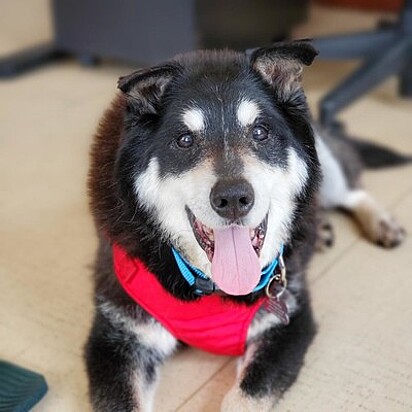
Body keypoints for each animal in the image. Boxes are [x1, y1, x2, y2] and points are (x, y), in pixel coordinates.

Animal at [86, 42, 406, 412]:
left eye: (260, 132)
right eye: (184, 140)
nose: (233, 198)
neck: (212, 286)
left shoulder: (288, 325)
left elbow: (245, 397)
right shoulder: (117, 339)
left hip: (326, 163)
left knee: (352, 190)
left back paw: (380, 223)